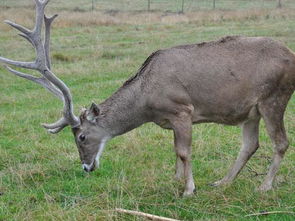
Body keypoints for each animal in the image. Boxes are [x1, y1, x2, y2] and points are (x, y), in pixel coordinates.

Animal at [0, 0, 295, 197]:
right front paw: (176, 180)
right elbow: (175, 152)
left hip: (274, 97)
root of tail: (291, 56)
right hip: (250, 111)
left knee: (281, 142)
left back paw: (264, 186)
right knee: (250, 144)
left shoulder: (182, 109)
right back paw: (222, 182)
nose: (86, 167)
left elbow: (184, 151)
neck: (147, 102)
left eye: (81, 136)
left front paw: (188, 189)